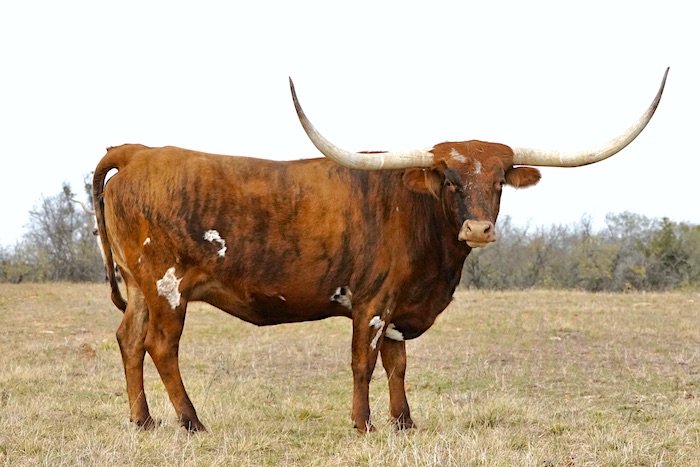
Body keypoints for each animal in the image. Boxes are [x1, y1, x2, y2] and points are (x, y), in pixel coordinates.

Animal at [91, 67, 668, 434]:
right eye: (450, 180)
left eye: (500, 180)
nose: (479, 228)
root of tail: (138, 152)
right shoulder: (370, 303)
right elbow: (362, 363)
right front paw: (363, 424)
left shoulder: (398, 308)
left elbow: (398, 363)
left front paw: (404, 422)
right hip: (167, 285)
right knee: (161, 347)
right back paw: (191, 422)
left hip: (140, 287)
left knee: (129, 340)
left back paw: (142, 422)